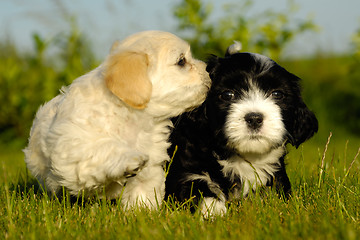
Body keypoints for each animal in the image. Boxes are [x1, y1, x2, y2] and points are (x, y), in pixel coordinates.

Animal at [23, 31, 211, 208]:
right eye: (181, 61)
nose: (208, 69)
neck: (132, 118)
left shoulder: (150, 167)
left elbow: (142, 194)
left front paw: (142, 214)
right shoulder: (74, 150)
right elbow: (105, 147)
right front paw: (131, 159)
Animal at [165, 46, 318, 217]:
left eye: (277, 94)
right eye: (227, 94)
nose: (254, 118)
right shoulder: (186, 169)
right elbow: (195, 187)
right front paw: (214, 211)